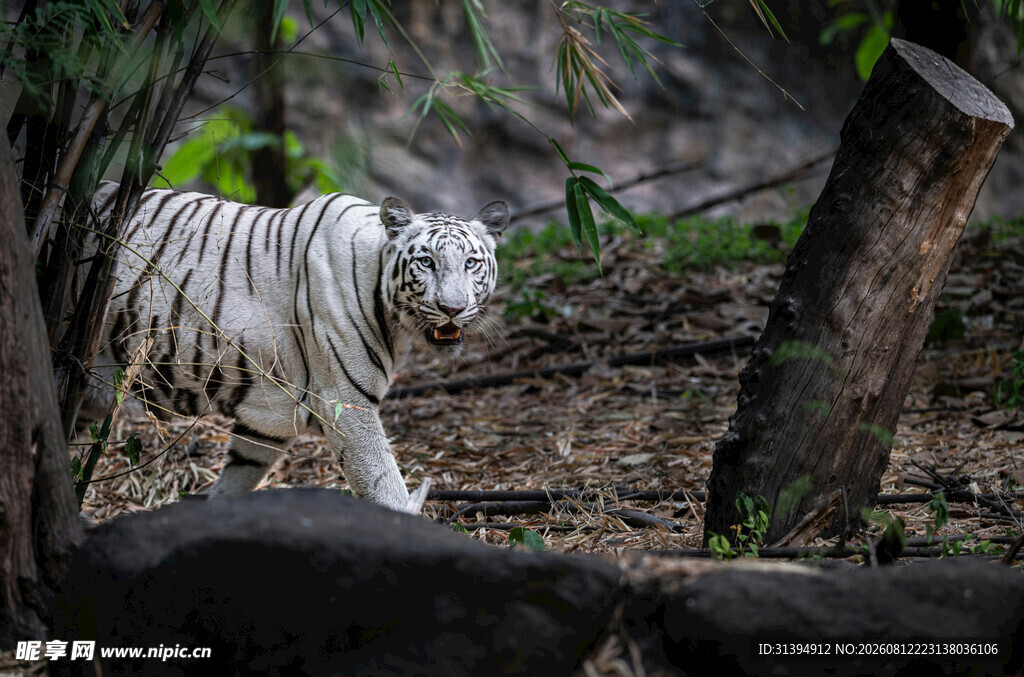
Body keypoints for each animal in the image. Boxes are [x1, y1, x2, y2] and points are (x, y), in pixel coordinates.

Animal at [88, 183, 509, 512]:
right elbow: (383, 483)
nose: (452, 308)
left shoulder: (268, 420)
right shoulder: (345, 402)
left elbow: (237, 479)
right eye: (426, 262)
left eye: (471, 263)